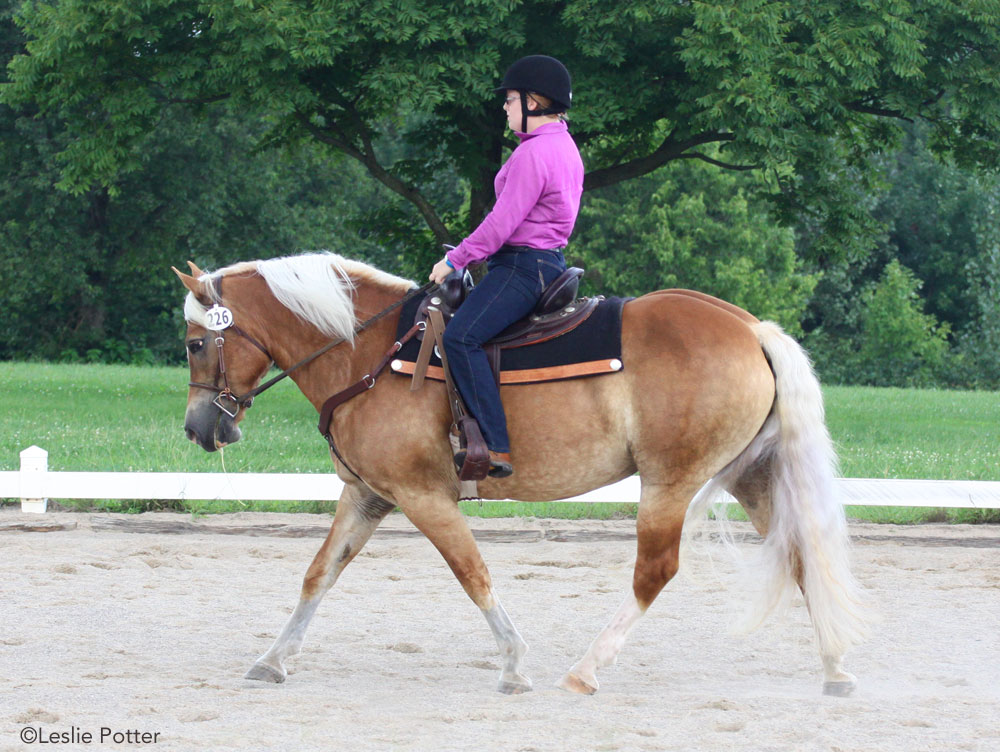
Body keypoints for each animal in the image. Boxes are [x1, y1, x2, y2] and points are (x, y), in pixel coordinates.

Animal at [176, 254, 872, 700]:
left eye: (193, 344)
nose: (199, 428)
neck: (372, 354)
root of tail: (750, 327)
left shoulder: (424, 497)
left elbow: (473, 573)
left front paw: (513, 665)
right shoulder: (367, 496)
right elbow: (319, 574)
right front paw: (272, 660)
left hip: (670, 482)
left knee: (655, 572)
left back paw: (587, 669)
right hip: (750, 475)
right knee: (801, 556)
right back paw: (836, 667)